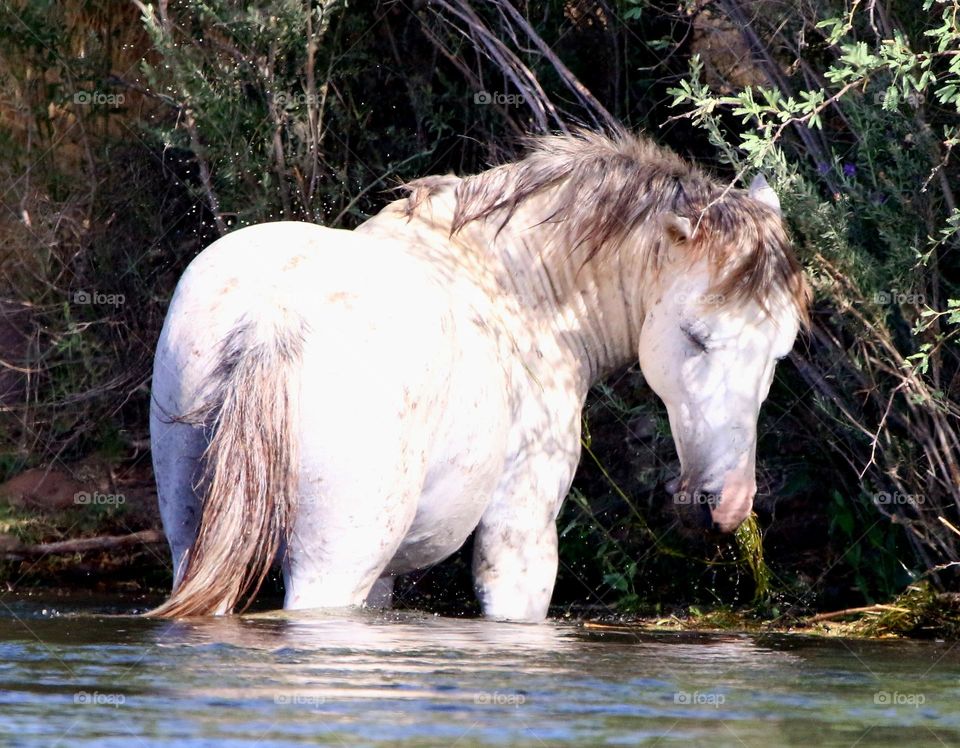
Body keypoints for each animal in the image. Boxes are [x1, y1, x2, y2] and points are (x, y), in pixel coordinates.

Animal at [147, 129, 809, 620]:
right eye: (696, 336)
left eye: (779, 353)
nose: (726, 504)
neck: (517, 285)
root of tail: (272, 317)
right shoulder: (520, 534)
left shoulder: (383, 576)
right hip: (332, 563)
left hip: (193, 535)